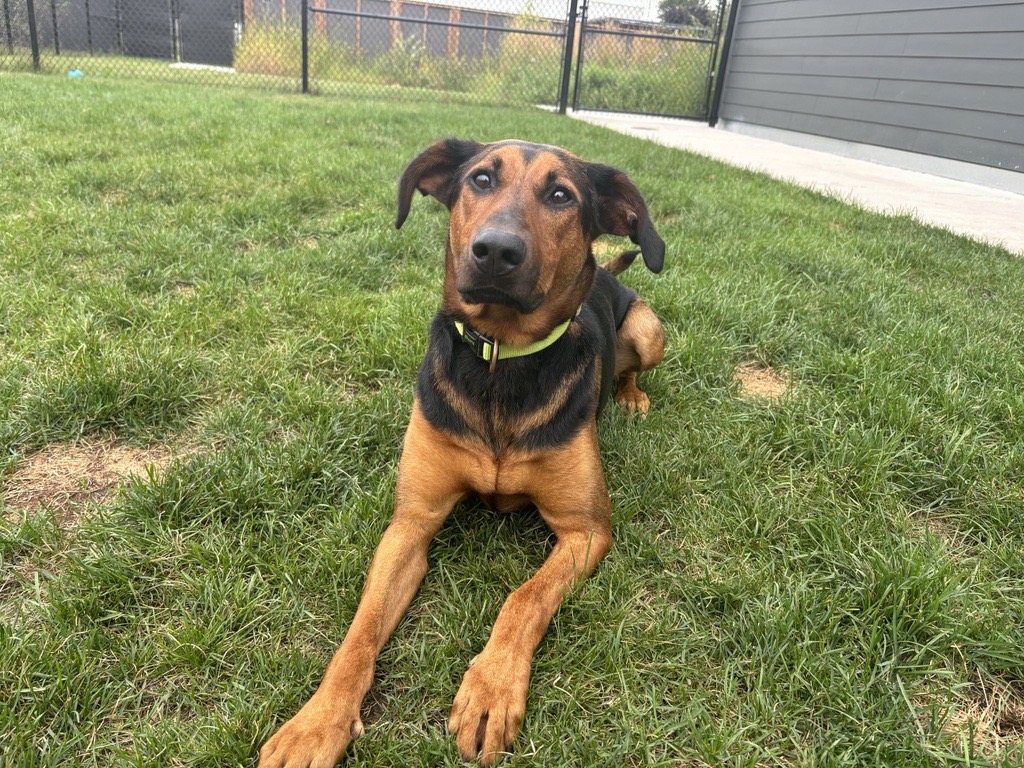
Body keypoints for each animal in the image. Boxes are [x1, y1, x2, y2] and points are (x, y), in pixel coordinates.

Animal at [260, 140, 667, 768]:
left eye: (561, 195)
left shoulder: (586, 530)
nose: (496, 250)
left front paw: (490, 689)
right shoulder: (412, 520)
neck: (501, 361)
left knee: (632, 366)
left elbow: (524, 599)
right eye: (480, 179)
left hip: (649, 328)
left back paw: (630, 397)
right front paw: (316, 722)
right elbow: (360, 630)